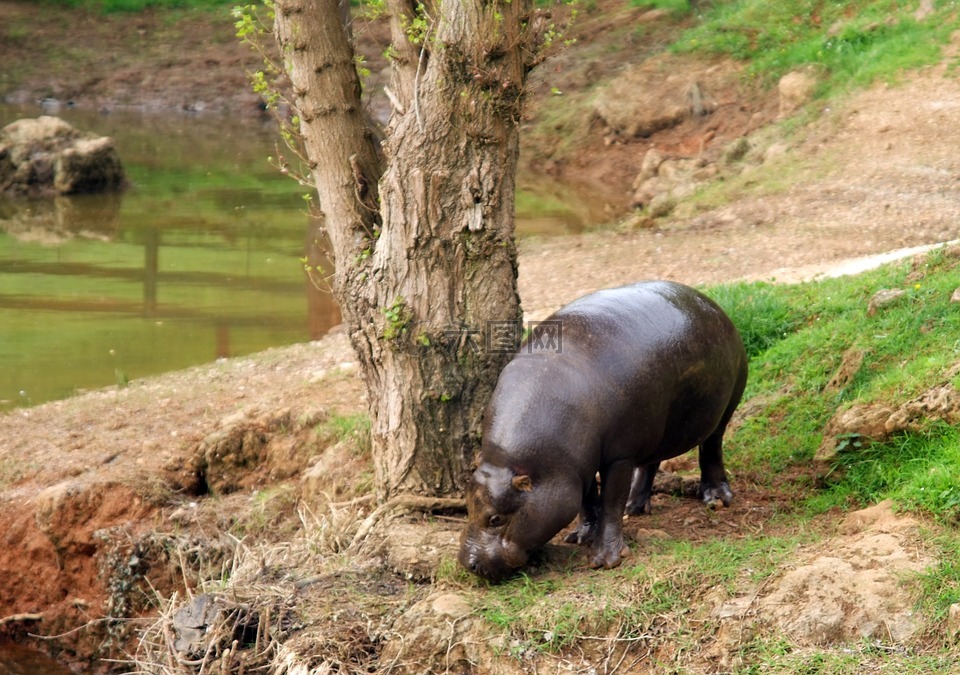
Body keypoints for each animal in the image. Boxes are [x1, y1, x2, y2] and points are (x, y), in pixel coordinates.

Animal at [460, 280, 752, 580]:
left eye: (496, 518)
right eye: (467, 505)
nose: (468, 564)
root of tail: (713, 305)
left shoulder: (619, 457)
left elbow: (611, 501)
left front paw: (605, 559)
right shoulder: (577, 466)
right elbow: (586, 500)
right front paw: (580, 536)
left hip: (724, 408)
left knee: (711, 448)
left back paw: (715, 498)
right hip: (655, 428)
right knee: (651, 462)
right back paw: (635, 507)